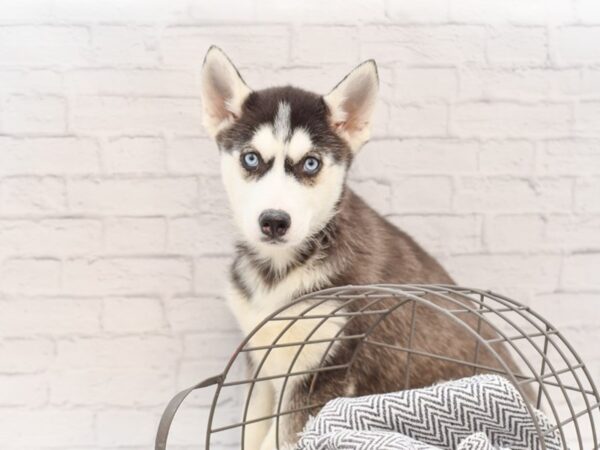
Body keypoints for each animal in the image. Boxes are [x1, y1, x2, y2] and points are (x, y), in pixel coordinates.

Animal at [199, 46, 516, 450]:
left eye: (311, 163)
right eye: (251, 158)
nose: (274, 221)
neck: (281, 271)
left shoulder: (322, 371)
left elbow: (277, 437)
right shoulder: (260, 362)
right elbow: (250, 430)